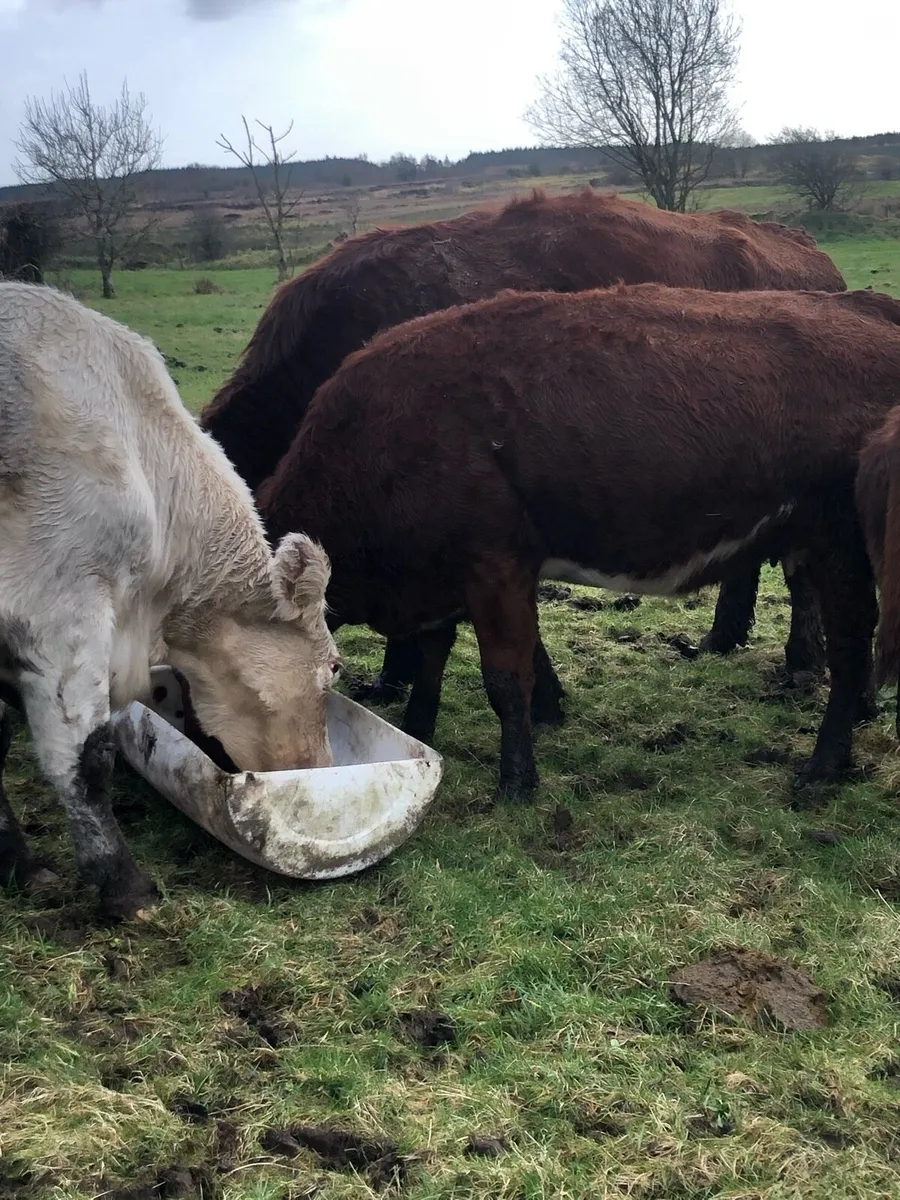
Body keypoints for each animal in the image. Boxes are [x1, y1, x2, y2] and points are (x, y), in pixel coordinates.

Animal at [0, 282, 340, 919]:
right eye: (333, 668)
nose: (326, 771)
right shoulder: (63, 610)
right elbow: (85, 759)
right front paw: (123, 885)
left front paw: (20, 863)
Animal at [201, 190, 846, 720]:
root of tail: (812, 259)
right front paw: (400, 675)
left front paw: (543, 703)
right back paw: (724, 636)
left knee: (800, 573)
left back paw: (801, 662)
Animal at [255, 283, 900, 799]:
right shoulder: (440, 577)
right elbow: (434, 655)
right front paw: (418, 728)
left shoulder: (495, 567)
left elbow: (506, 678)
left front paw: (516, 783)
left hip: (838, 544)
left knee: (848, 651)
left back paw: (823, 767)